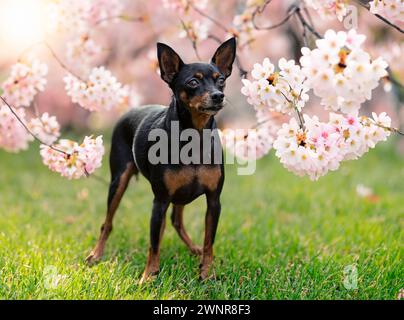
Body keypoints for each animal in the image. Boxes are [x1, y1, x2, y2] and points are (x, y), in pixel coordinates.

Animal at [85, 38, 237, 282]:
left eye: (221, 80)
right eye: (193, 82)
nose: (218, 95)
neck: (194, 136)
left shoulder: (214, 201)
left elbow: (209, 242)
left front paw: (206, 273)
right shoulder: (160, 200)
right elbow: (153, 243)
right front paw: (148, 276)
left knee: (176, 221)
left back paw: (193, 249)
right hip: (119, 181)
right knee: (107, 223)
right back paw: (96, 254)